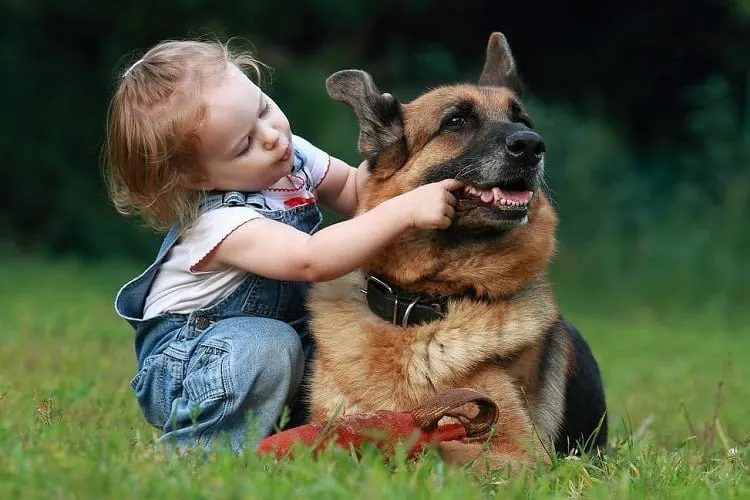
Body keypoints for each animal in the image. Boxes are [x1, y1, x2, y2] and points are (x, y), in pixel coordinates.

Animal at [308, 34, 608, 468]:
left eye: (524, 122)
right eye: (455, 121)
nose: (532, 146)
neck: (421, 307)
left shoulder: (518, 452)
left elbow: (433, 444)